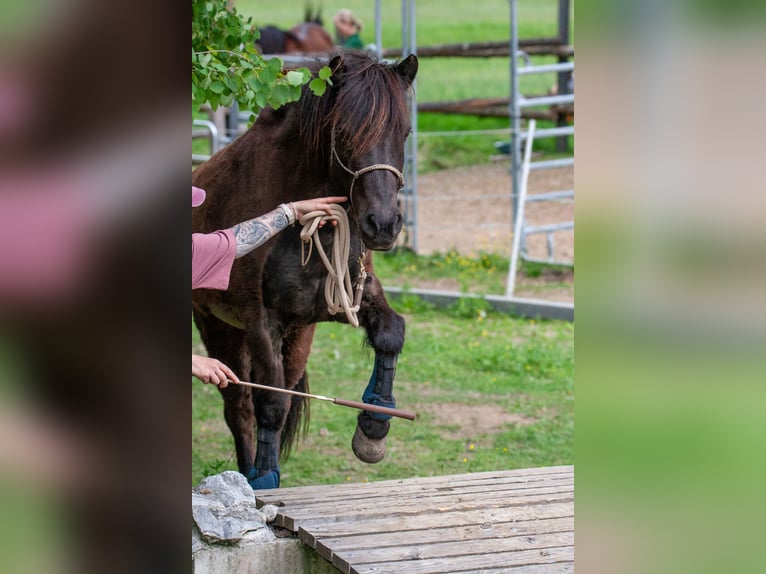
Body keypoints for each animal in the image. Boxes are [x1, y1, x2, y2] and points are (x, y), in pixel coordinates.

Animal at [192, 50, 418, 489]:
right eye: (345, 132)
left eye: (404, 132)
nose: (383, 224)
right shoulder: (261, 322)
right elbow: (271, 403)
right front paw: (264, 477)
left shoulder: (356, 294)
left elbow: (391, 333)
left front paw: (374, 425)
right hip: (219, 329)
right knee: (240, 407)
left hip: (299, 337)